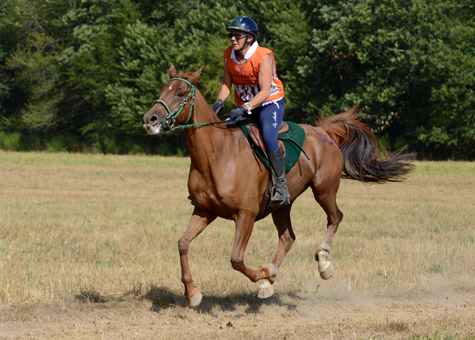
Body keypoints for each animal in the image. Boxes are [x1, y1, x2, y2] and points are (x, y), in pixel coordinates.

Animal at [142, 63, 416, 308]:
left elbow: (236, 259)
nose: (149, 119)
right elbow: (183, 243)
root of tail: (324, 131)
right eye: (161, 89)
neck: (217, 154)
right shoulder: (204, 211)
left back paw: (323, 262)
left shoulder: (246, 214)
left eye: (180, 93)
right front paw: (192, 293)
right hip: (282, 204)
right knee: (288, 238)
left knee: (335, 217)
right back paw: (269, 282)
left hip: (324, 189)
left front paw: (266, 273)